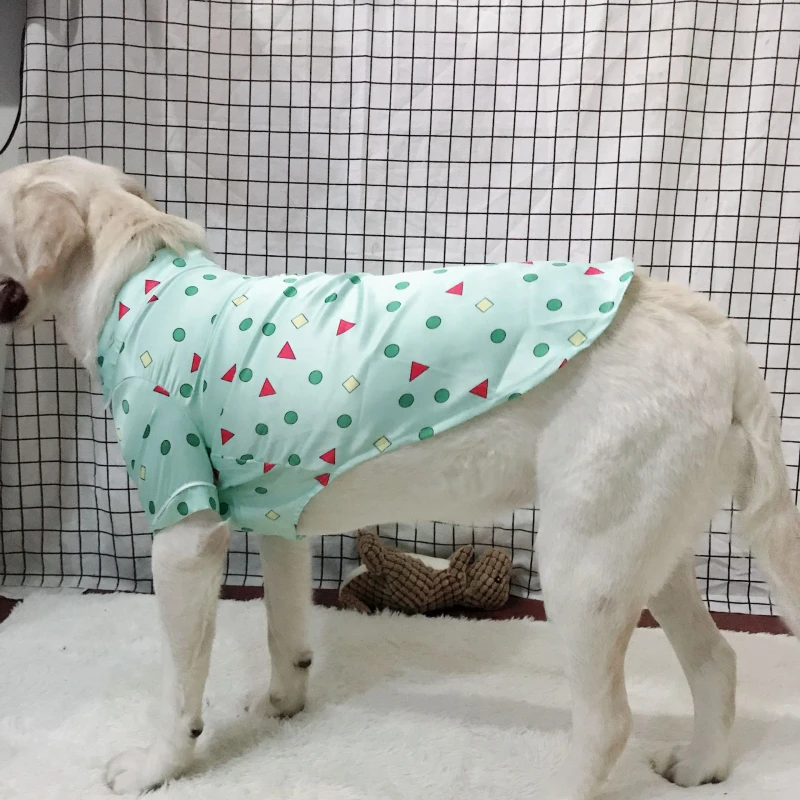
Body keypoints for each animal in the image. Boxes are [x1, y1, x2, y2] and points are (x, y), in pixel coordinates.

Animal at [0, 156, 798, 799]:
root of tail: (715, 334)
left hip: (586, 565)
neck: (138, 281)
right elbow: (284, 626)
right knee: (718, 661)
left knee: (609, 721)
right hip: (649, 548)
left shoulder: (184, 536)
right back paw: (701, 767)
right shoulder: (278, 523)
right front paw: (282, 705)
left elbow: (177, 684)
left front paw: (156, 767)